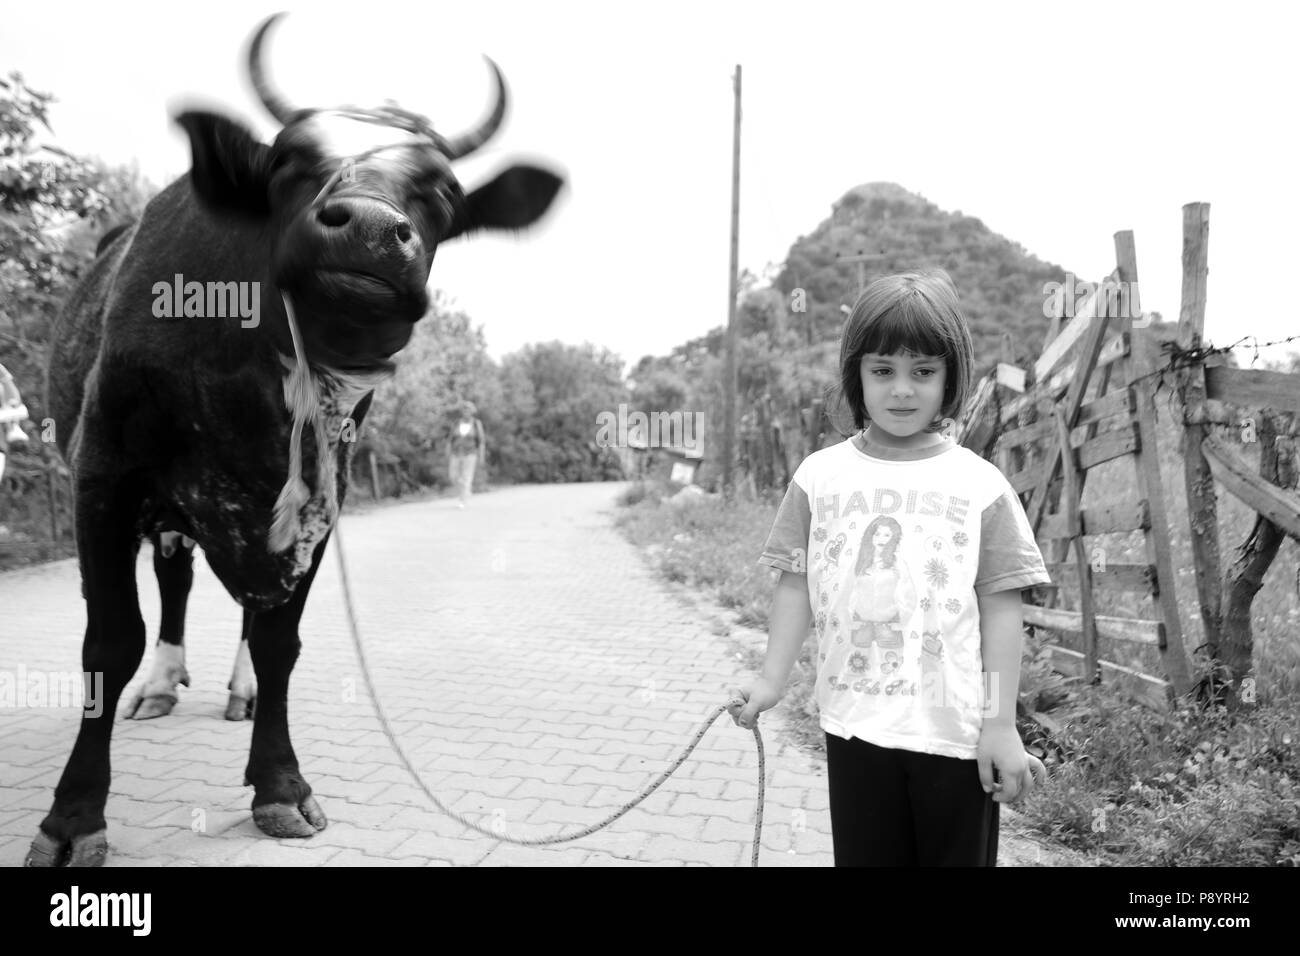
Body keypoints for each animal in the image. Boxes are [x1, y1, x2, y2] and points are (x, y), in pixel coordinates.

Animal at [27, 13, 561, 868]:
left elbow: (280, 640)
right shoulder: (102, 475)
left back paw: (237, 691)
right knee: (173, 587)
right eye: (288, 161)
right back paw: (161, 682)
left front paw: (279, 784)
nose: (370, 230)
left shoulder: (320, 499)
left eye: (443, 190)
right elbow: (109, 640)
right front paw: (73, 818)